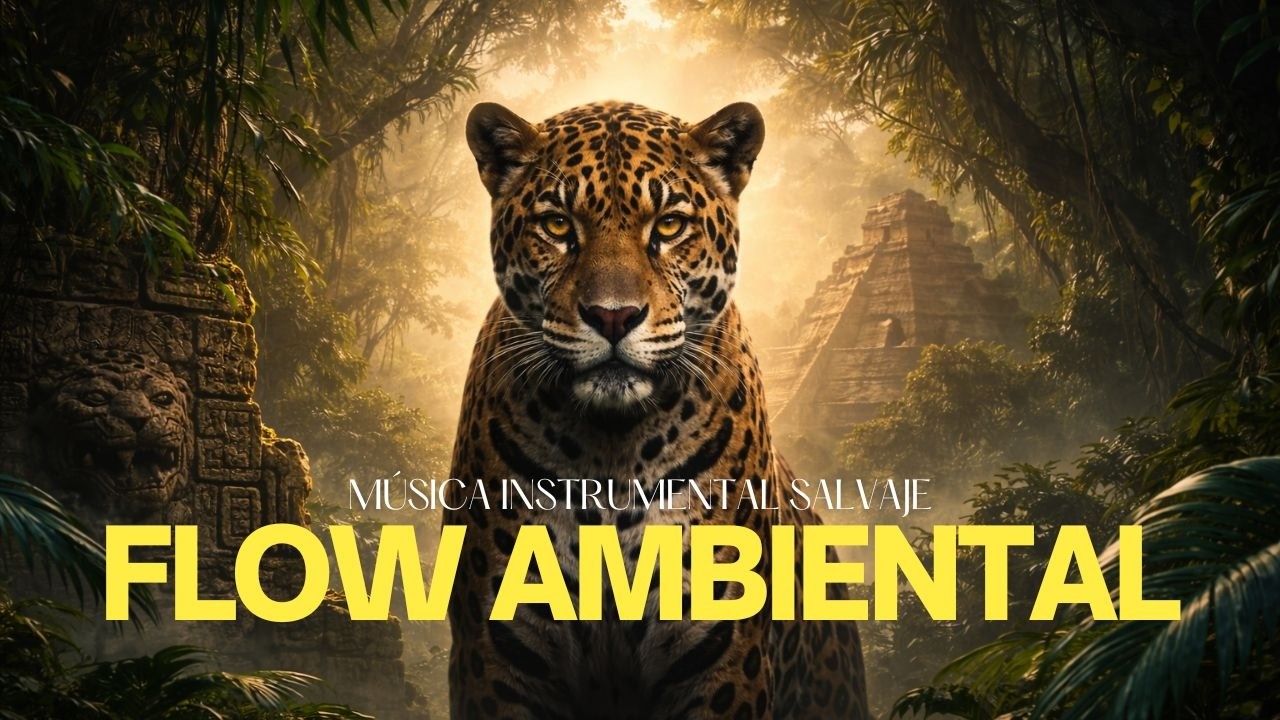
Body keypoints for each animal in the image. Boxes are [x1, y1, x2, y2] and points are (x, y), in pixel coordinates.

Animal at [447, 100, 868, 720]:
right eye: (558, 225)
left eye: (668, 226)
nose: (613, 316)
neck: (609, 451)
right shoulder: (497, 658)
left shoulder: (721, 658)